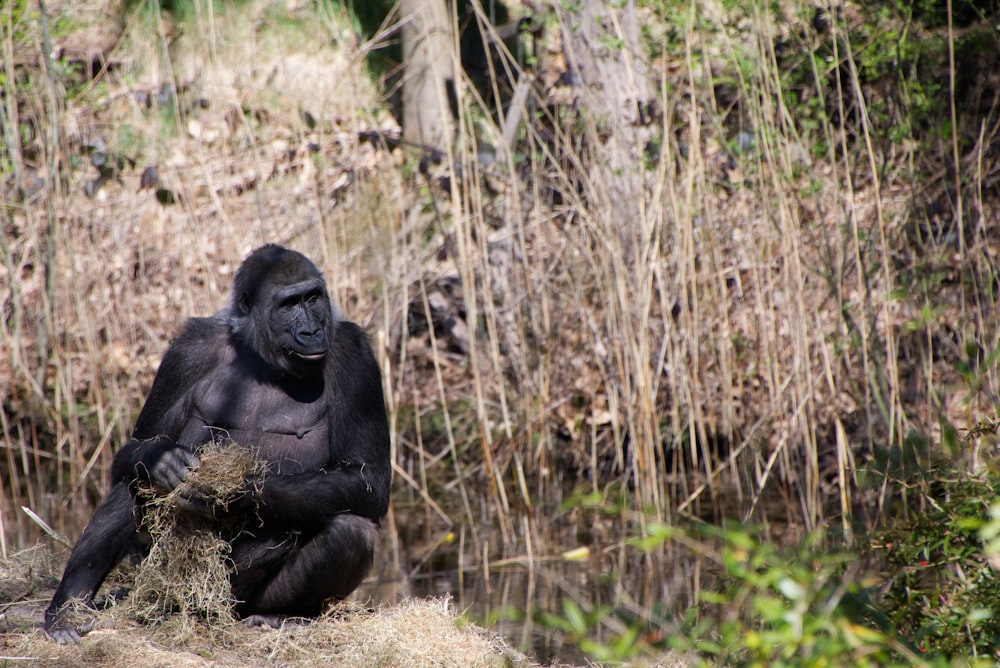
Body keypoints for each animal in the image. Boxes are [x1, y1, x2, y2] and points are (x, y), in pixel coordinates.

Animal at [46, 244, 390, 640]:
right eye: (289, 304)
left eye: (313, 298)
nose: (311, 330)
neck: (262, 355)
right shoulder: (187, 350)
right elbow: (139, 445)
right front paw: (162, 458)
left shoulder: (354, 353)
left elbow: (366, 479)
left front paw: (230, 492)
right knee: (134, 481)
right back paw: (69, 605)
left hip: (239, 599)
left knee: (350, 532)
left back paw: (285, 615)